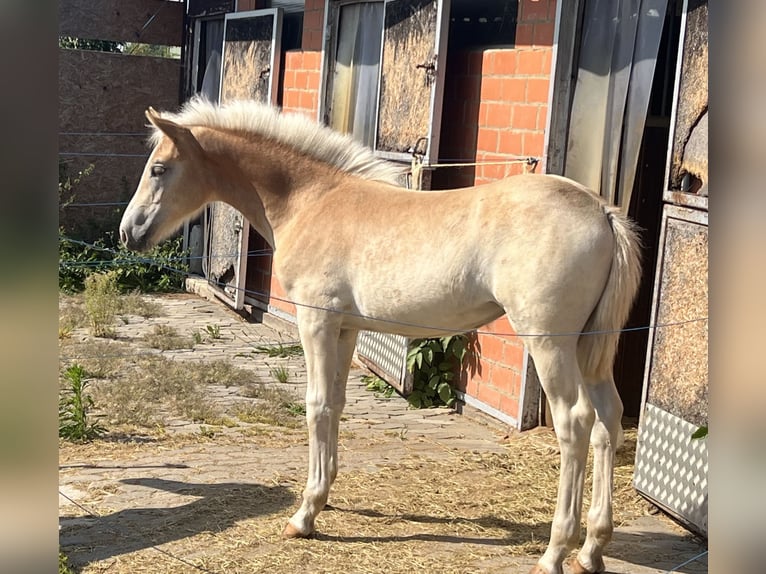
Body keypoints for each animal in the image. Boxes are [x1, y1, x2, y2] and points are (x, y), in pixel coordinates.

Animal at [121, 99, 648, 574]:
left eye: (159, 168)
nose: (129, 233)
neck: (310, 200)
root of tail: (602, 211)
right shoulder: (346, 328)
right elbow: (336, 404)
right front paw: (322, 498)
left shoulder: (316, 322)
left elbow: (316, 405)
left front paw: (303, 516)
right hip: (589, 347)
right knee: (608, 420)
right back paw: (591, 550)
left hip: (549, 342)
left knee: (576, 423)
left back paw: (555, 553)